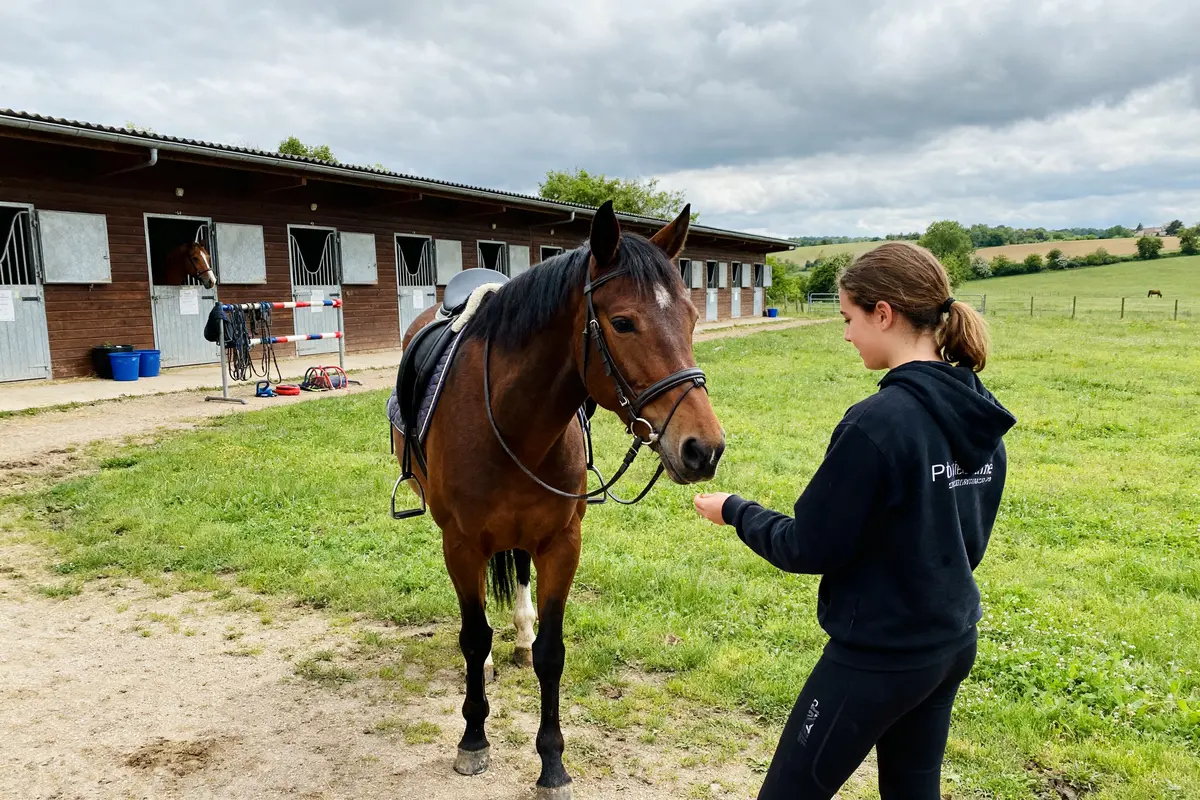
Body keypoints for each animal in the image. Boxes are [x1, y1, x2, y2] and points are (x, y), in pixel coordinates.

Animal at [391, 202, 725, 799]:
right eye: (623, 322)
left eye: (691, 318)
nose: (703, 448)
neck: (511, 421)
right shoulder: (461, 544)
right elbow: (473, 637)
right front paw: (473, 739)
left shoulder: (561, 542)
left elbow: (552, 653)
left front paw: (551, 765)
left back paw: (519, 638)